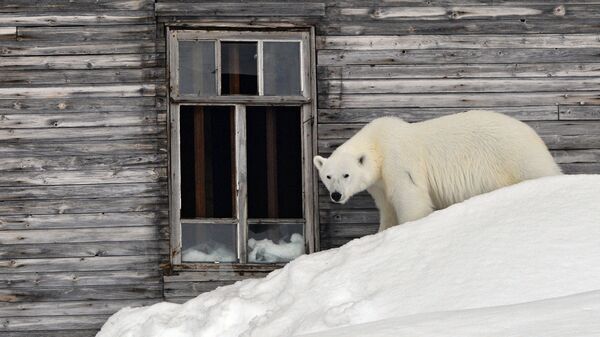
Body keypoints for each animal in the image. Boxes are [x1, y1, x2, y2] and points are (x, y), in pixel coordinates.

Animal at [314, 110, 564, 231]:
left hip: (516, 157)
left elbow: (410, 198)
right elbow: (387, 208)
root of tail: (534, 136)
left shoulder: (398, 162)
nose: (336, 195)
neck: (377, 144)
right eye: (328, 176)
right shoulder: (379, 184)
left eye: (346, 174)